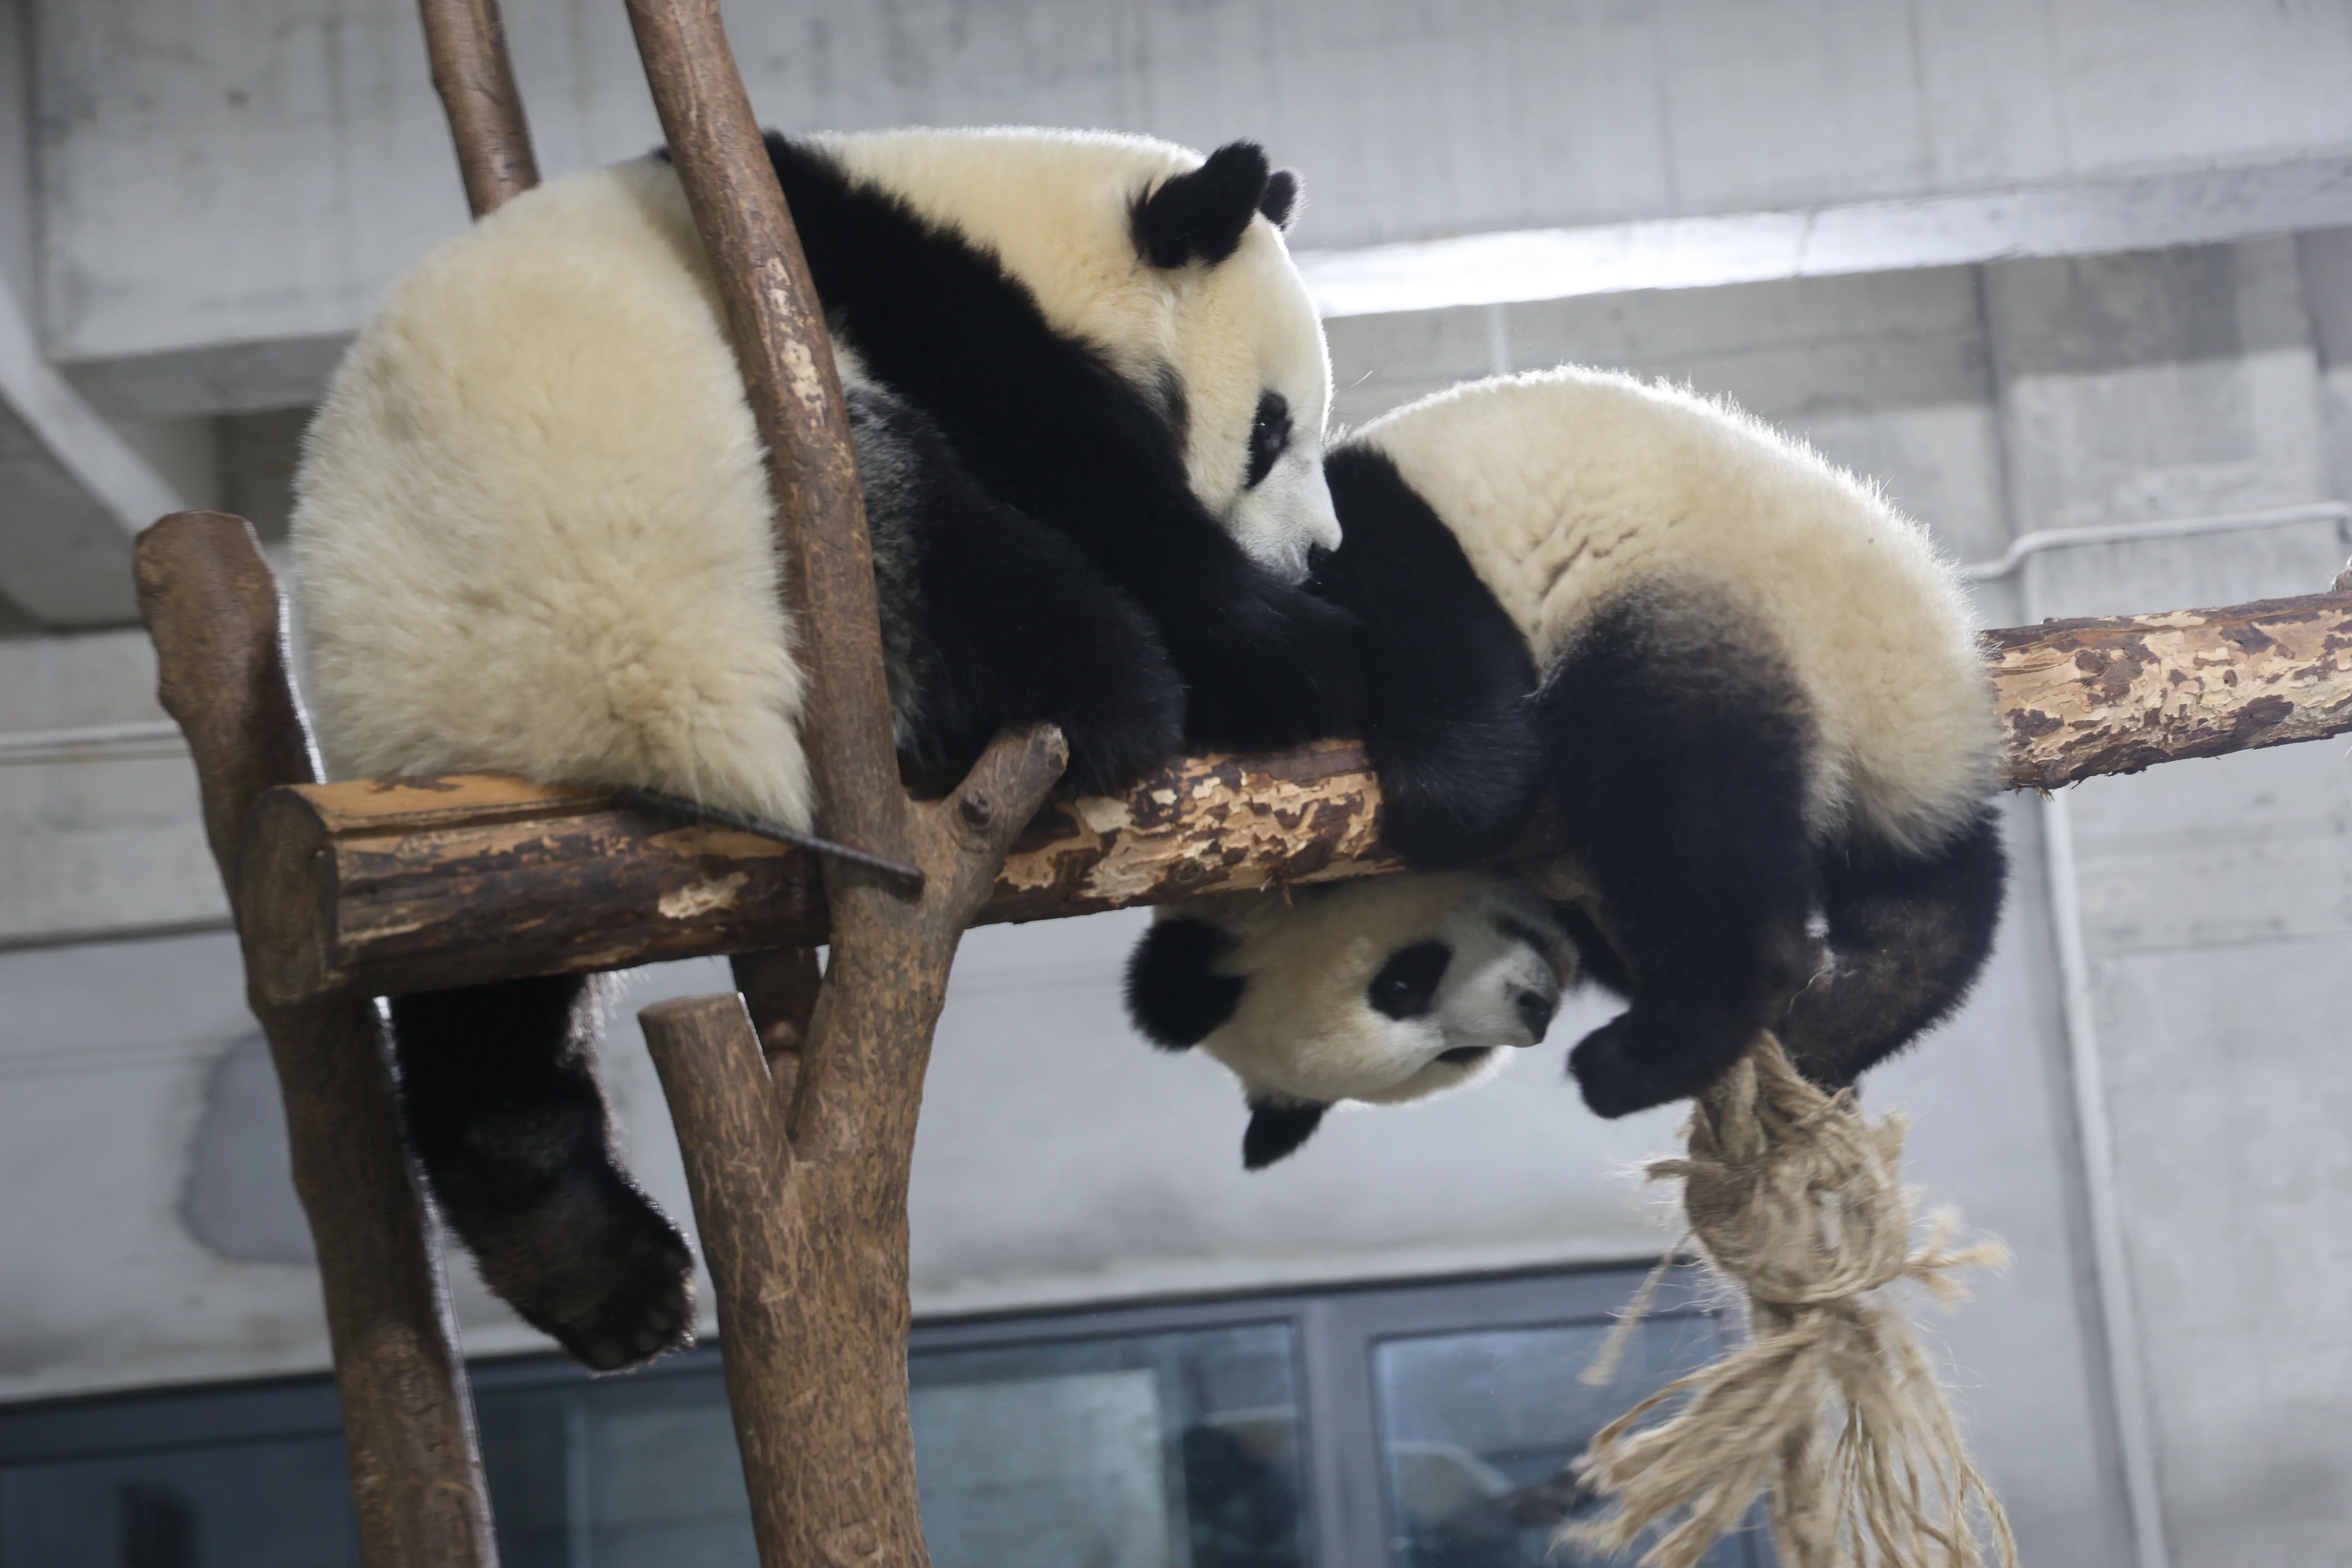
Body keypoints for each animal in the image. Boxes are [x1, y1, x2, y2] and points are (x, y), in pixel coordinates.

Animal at [291, 129, 1357, 1367]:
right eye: (1273, 429)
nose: (1319, 554)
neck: (1008, 224)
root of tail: (608, 715)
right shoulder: (946, 328)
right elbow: (1129, 533)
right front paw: (1322, 650)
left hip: (441, 772)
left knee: (485, 1012)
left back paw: (593, 1268)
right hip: (776, 528)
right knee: (951, 558)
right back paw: (1101, 684)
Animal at [1126, 367, 2007, 1169]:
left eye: (1403, 982)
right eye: (1449, 1054)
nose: (1535, 1010)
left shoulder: (1362, 541)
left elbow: (1413, 641)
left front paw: (1447, 795)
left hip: (1687, 611)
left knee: (1675, 802)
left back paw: (1653, 1049)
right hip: (1908, 768)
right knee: (1931, 897)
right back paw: (1848, 1014)